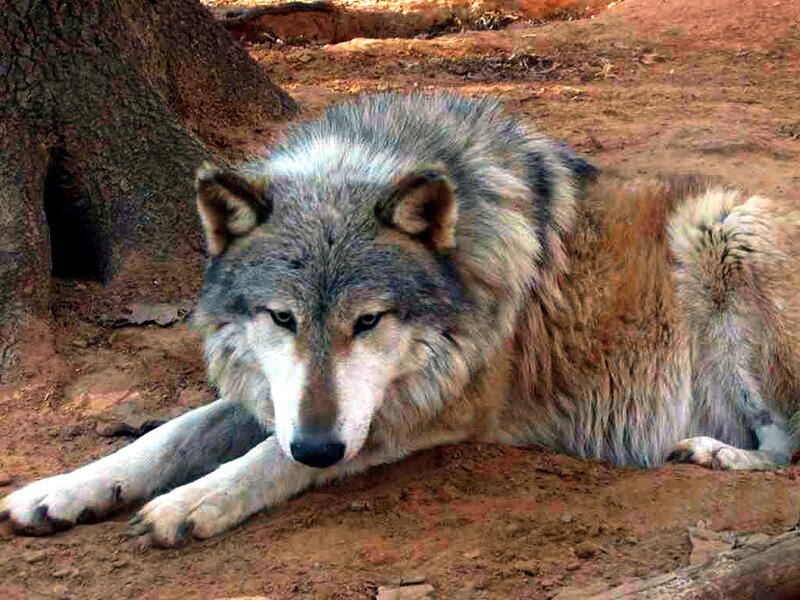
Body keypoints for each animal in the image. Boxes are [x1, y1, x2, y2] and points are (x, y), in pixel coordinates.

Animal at [2, 93, 799, 547]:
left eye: (369, 321)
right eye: (282, 318)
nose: (318, 447)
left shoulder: (422, 410)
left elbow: (260, 460)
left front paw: (192, 501)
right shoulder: (287, 400)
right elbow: (168, 436)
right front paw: (62, 490)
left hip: (719, 227)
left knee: (787, 448)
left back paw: (715, 454)